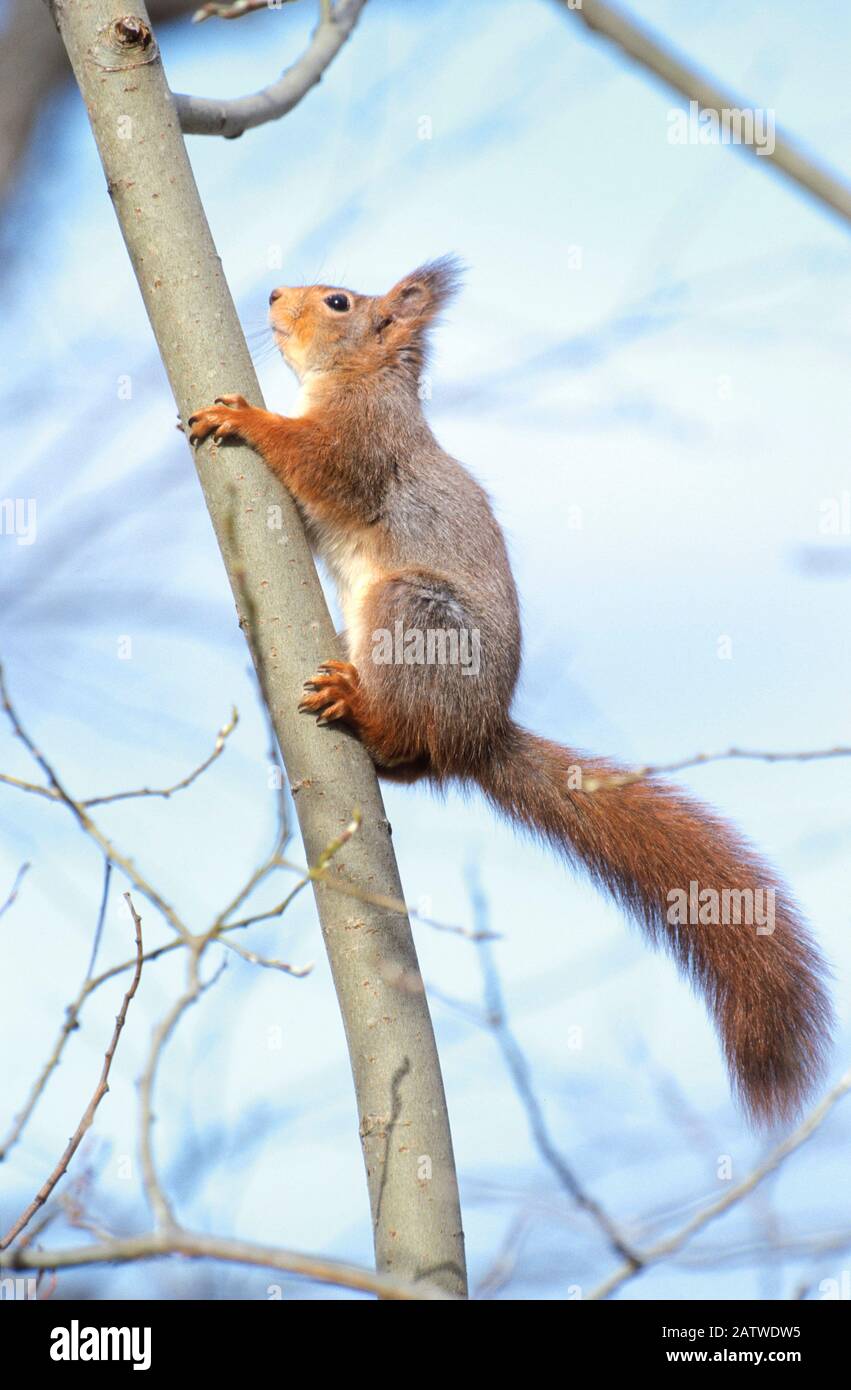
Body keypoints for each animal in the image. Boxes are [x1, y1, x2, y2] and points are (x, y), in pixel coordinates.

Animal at [189, 255, 834, 1123]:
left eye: (338, 302)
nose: (271, 295)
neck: (363, 379)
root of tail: (481, 735)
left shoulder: (366, 443)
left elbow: (321, 462)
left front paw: (249, 419)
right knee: (416, 761)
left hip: (415, 613)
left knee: (408, 731)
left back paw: (359, 708)